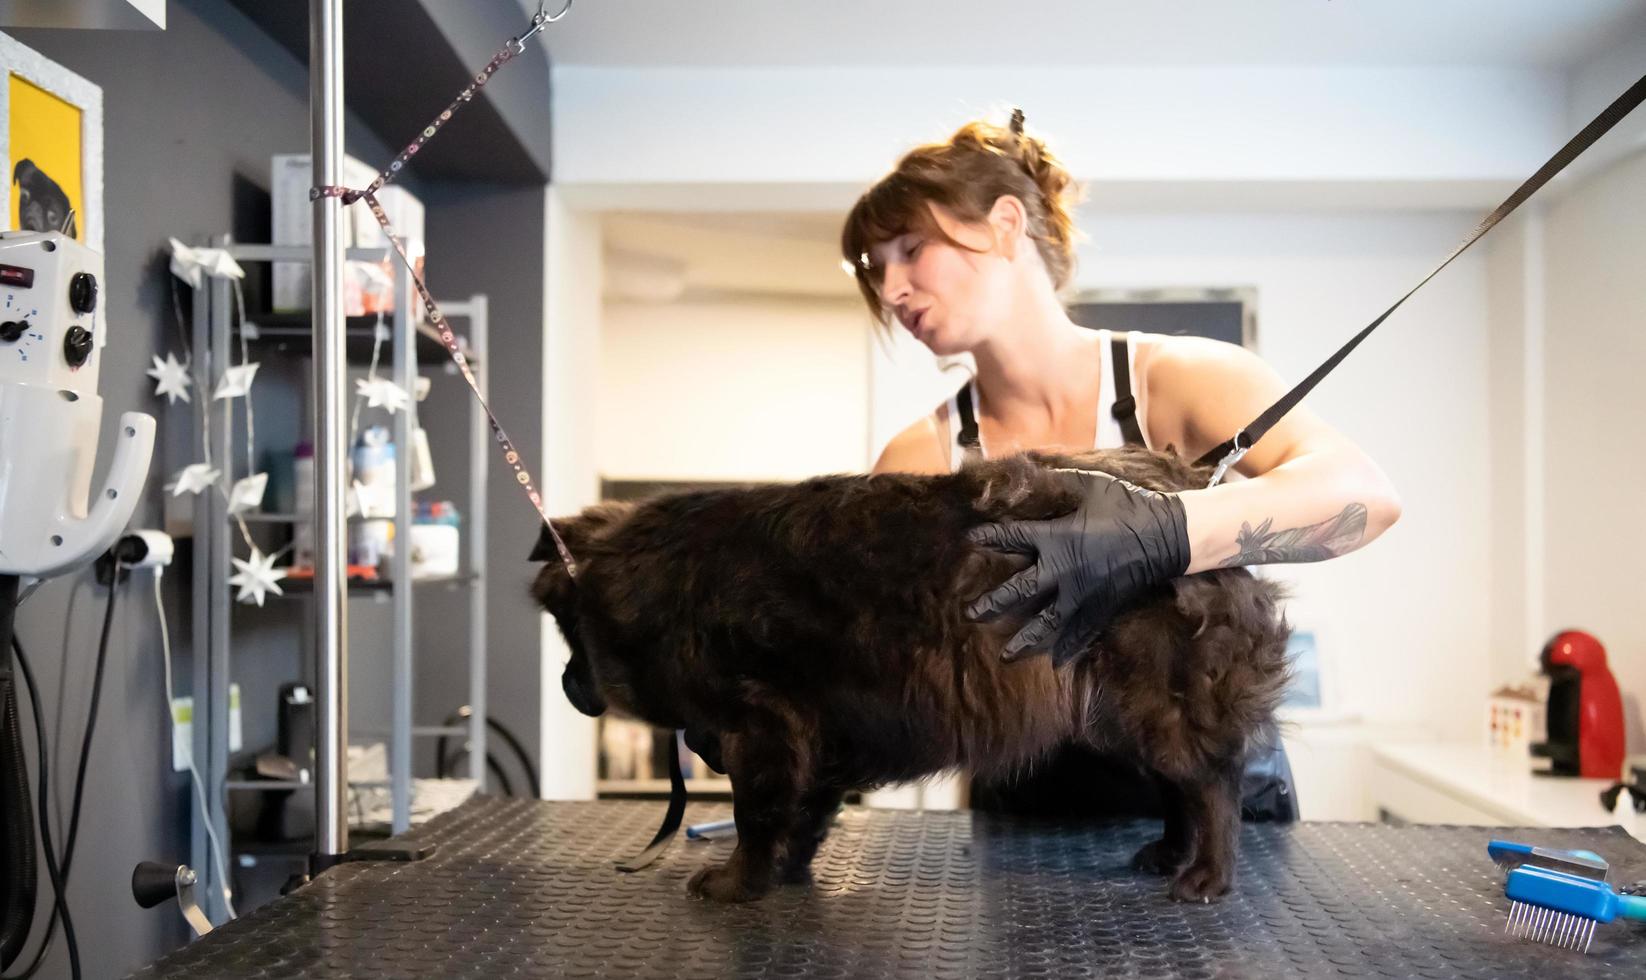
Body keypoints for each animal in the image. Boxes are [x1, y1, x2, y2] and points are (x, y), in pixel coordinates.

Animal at [533, 448, 1290, 902]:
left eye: (565, 631)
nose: (568, 688)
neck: (665, 579)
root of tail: (1186, 491)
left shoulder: (763, 725)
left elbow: (757, 815)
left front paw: (738, 882)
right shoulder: (818, 735)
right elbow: (803, 814)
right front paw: (788, 873)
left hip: (1159, 704)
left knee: (1213, 787)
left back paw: (1208, 874)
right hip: (1122, 714)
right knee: (1178, 790)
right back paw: (1170, 854)